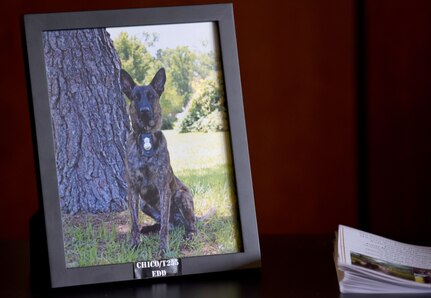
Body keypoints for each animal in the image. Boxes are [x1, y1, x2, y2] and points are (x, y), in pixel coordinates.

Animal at [120, 67, 197, 254]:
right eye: (135, 97)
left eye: (152, 96)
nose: (145, 111)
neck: (146, 136)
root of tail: (177, 222)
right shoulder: (133, 190)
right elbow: (134, 223)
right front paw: (135, 244)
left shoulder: (164, 189)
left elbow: (163, 230)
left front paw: (163, 249)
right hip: (144, 204)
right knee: (164, 223)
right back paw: (149, 228)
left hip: (181, 195)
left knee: (187, 226)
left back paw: (189, 236)